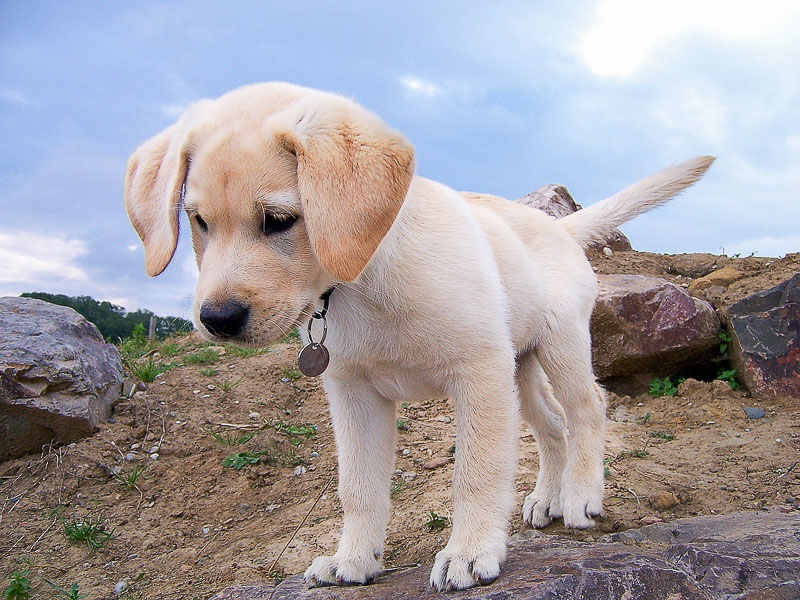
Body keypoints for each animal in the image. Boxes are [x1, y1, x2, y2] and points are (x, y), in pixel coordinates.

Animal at [125, 83, 712, 592]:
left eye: (279, 220)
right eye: (198, 220)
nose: (217, 318)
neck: (363, 280)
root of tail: (556, 226)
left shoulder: (477, 374)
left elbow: (476, 472)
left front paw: (470, 552)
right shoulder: (354, 395)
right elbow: (358, 487)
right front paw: (353, 558)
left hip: (559, 346)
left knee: (588, 409)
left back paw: (582, 495)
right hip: (518, 368)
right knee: (551, 427)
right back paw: (547, 497)